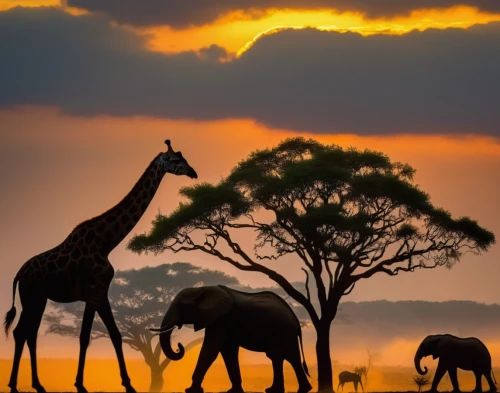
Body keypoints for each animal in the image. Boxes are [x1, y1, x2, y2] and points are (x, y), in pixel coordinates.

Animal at [2, 139, 197, 390]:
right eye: (174, 160)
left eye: (184, 157)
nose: (193, 173)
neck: (107, 242)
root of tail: (18, 274)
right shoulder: (95, 292)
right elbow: (87, 337)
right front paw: (81, 384)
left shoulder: (99, 294)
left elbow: (113, 334)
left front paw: (126, 383)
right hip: (32, 296)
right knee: (22, 332)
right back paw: (15, 384)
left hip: (39, 298)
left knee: (29, 333)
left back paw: (35, 384)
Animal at [151, 284, 312, 392]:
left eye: (180, 305)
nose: (179, 346)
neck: (202, 289)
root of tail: (296, 320)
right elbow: (228, 352)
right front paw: (233, 391)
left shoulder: (221, 319)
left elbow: (211, 350)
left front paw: (191, 390)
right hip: (287, 333)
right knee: (292, 358)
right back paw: (303, 390)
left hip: (280, 331)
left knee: (277, 356)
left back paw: (273, 390)